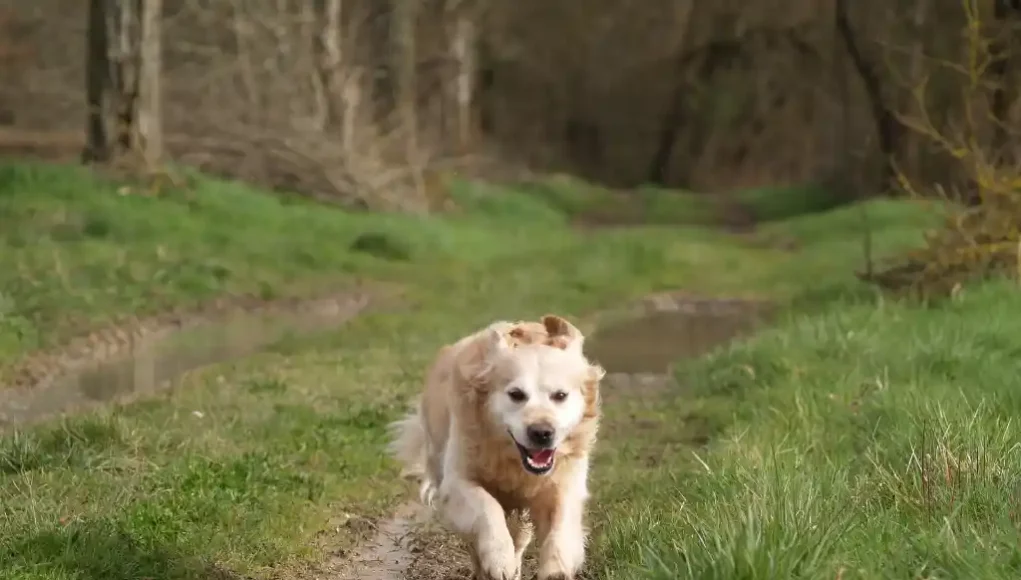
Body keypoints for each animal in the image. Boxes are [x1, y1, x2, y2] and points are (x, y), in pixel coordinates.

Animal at [387, 314, 596, 580]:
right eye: (516, 394)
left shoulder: (562, 483)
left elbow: (561, 525)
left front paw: (556, 570)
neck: (512, 461)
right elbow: (488, 508)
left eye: (560, 395)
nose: (542, 433)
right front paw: (498, 559)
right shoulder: (457, 482)